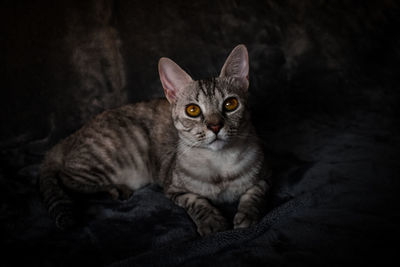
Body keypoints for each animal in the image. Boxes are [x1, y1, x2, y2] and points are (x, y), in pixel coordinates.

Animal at [39, 44, 272, 237]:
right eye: (193, 110)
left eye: (231, 104)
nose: (215, 126)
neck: (220, 167)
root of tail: (71, 136)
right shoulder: (173, 189)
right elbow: (197, 201)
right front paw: (212, 222)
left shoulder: (264, 177)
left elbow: (254, 194)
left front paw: (247, 216)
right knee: (67, 177)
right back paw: (115, 188)